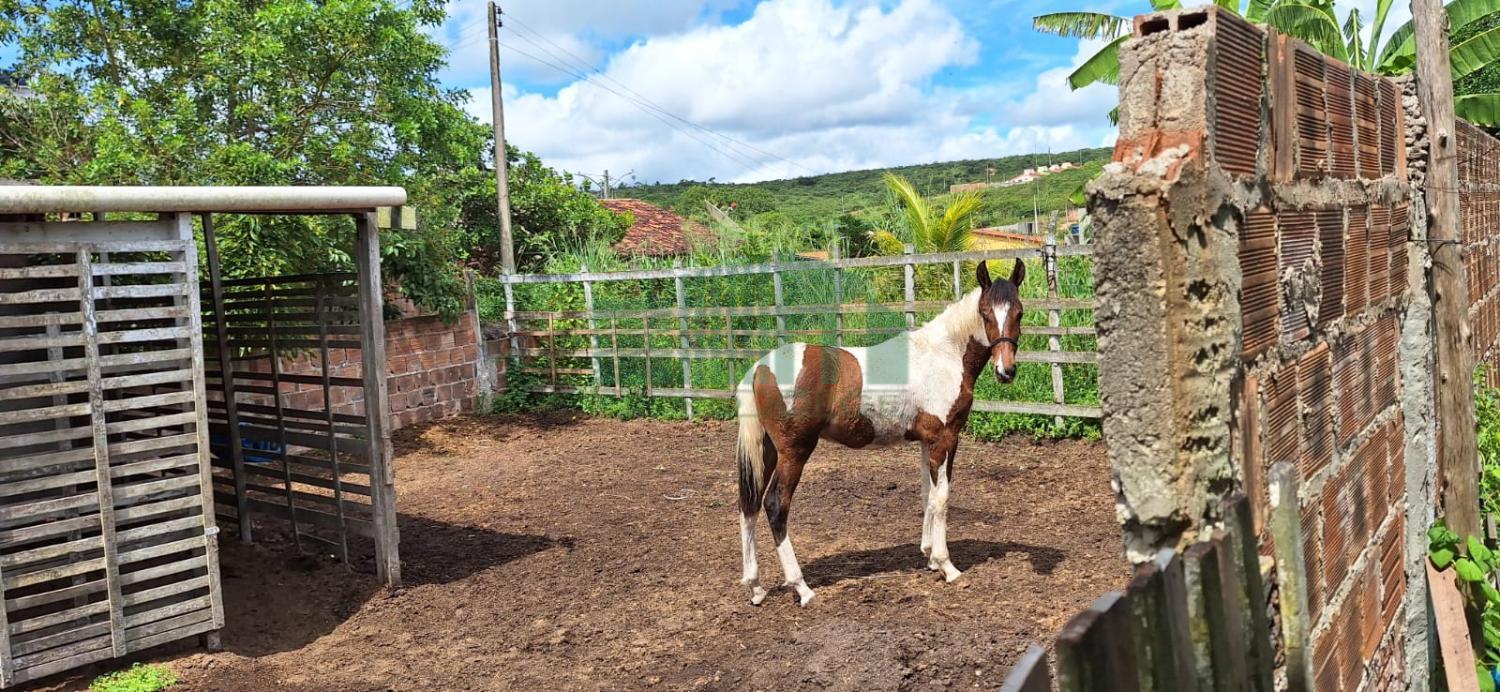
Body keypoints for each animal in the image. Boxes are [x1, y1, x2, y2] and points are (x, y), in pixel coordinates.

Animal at [735, 258, 1026, 603]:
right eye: (985, 313)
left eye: (1019, 312)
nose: (1006, 371)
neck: (944, 354)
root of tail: (761, 368)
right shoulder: (945, 439)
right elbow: (941, 498)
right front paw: (947, 566)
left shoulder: (926, 442)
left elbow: (927, 495)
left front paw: (929, 556)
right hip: (794, 452)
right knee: (775, 505)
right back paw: (801, 587)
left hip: (766, 450)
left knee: (749, 505)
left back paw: (755, 587)